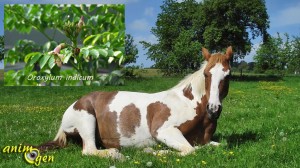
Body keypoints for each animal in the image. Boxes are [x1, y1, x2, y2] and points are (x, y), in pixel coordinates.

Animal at [36, 46, 233, 159]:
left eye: (228, 75)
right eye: (206, 74)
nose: (213, 109)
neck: (189, 104)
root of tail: (75, 104)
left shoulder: (204, 141)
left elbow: (218, 145)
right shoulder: (163, 131)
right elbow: (190, 150)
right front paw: (151, 151)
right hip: (87, 121)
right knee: (89, 150)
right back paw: (116, 154)